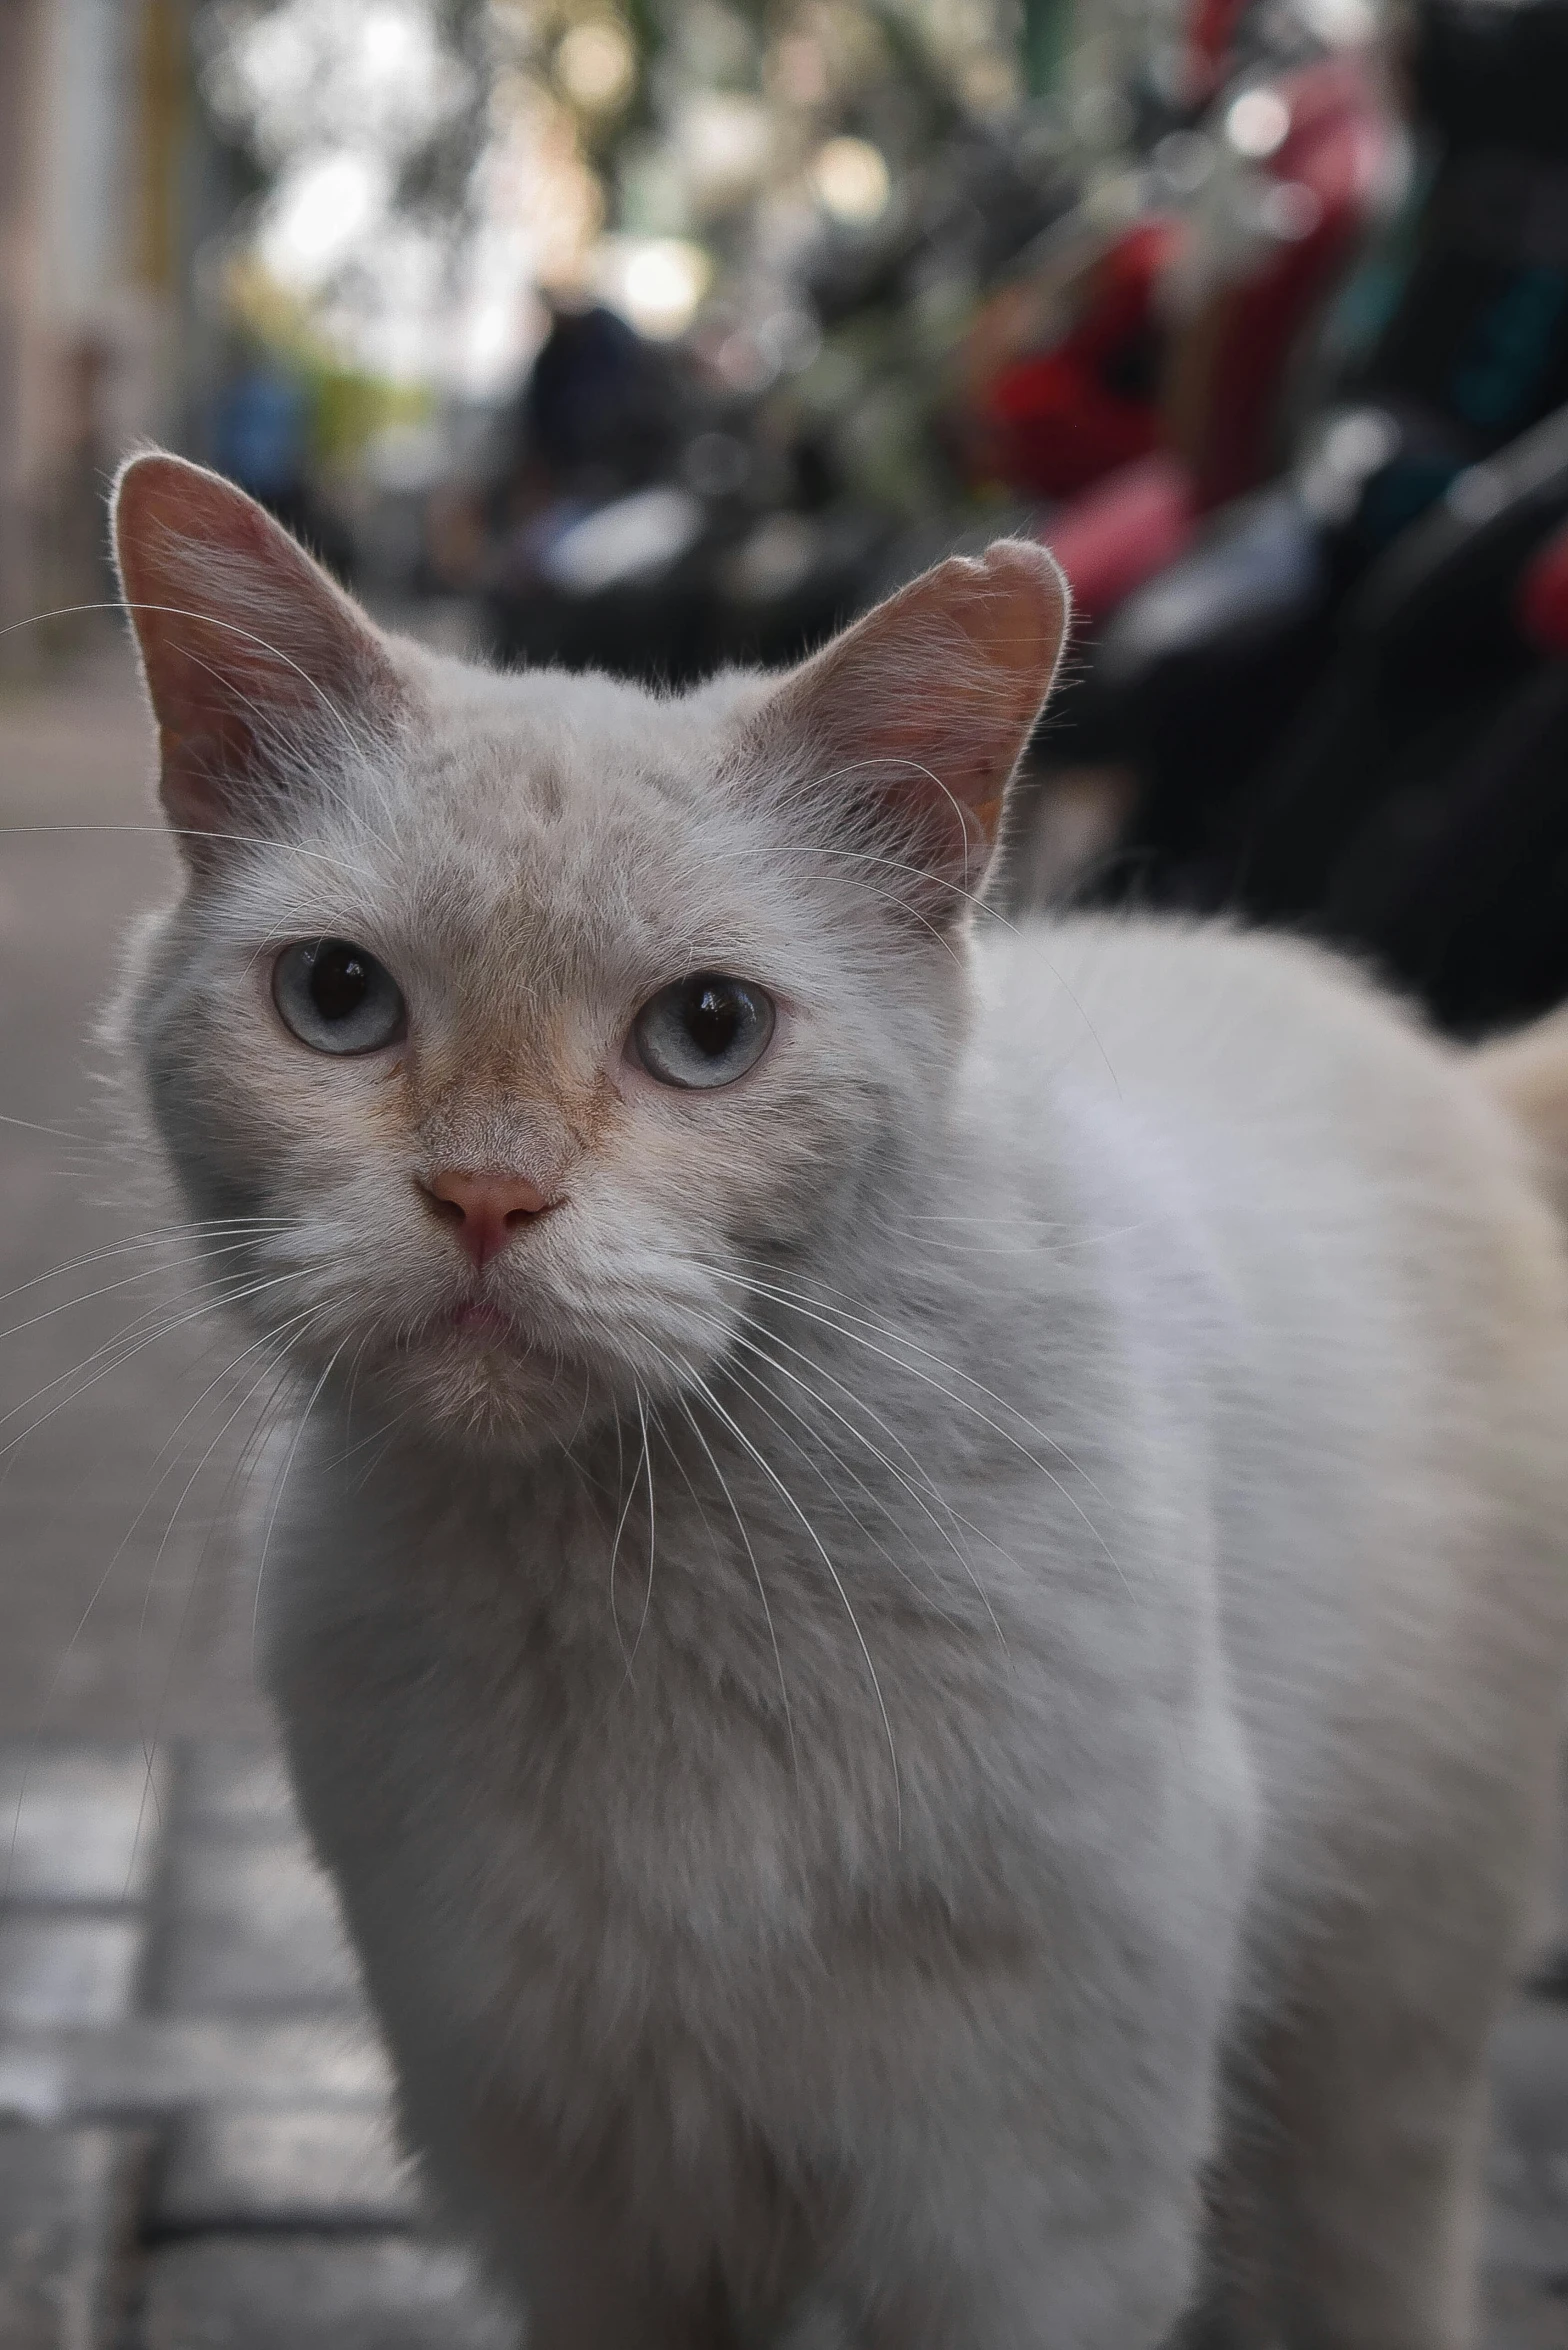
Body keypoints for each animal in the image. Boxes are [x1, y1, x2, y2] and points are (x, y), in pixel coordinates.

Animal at [116, 444, 1568, 2350]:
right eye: (338, 998)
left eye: (709, 1031)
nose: (486, 1198)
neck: (636, 1589)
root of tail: (1450, 1068)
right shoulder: (585, 2208)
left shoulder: (1025, 2222)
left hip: (1383, 2044)